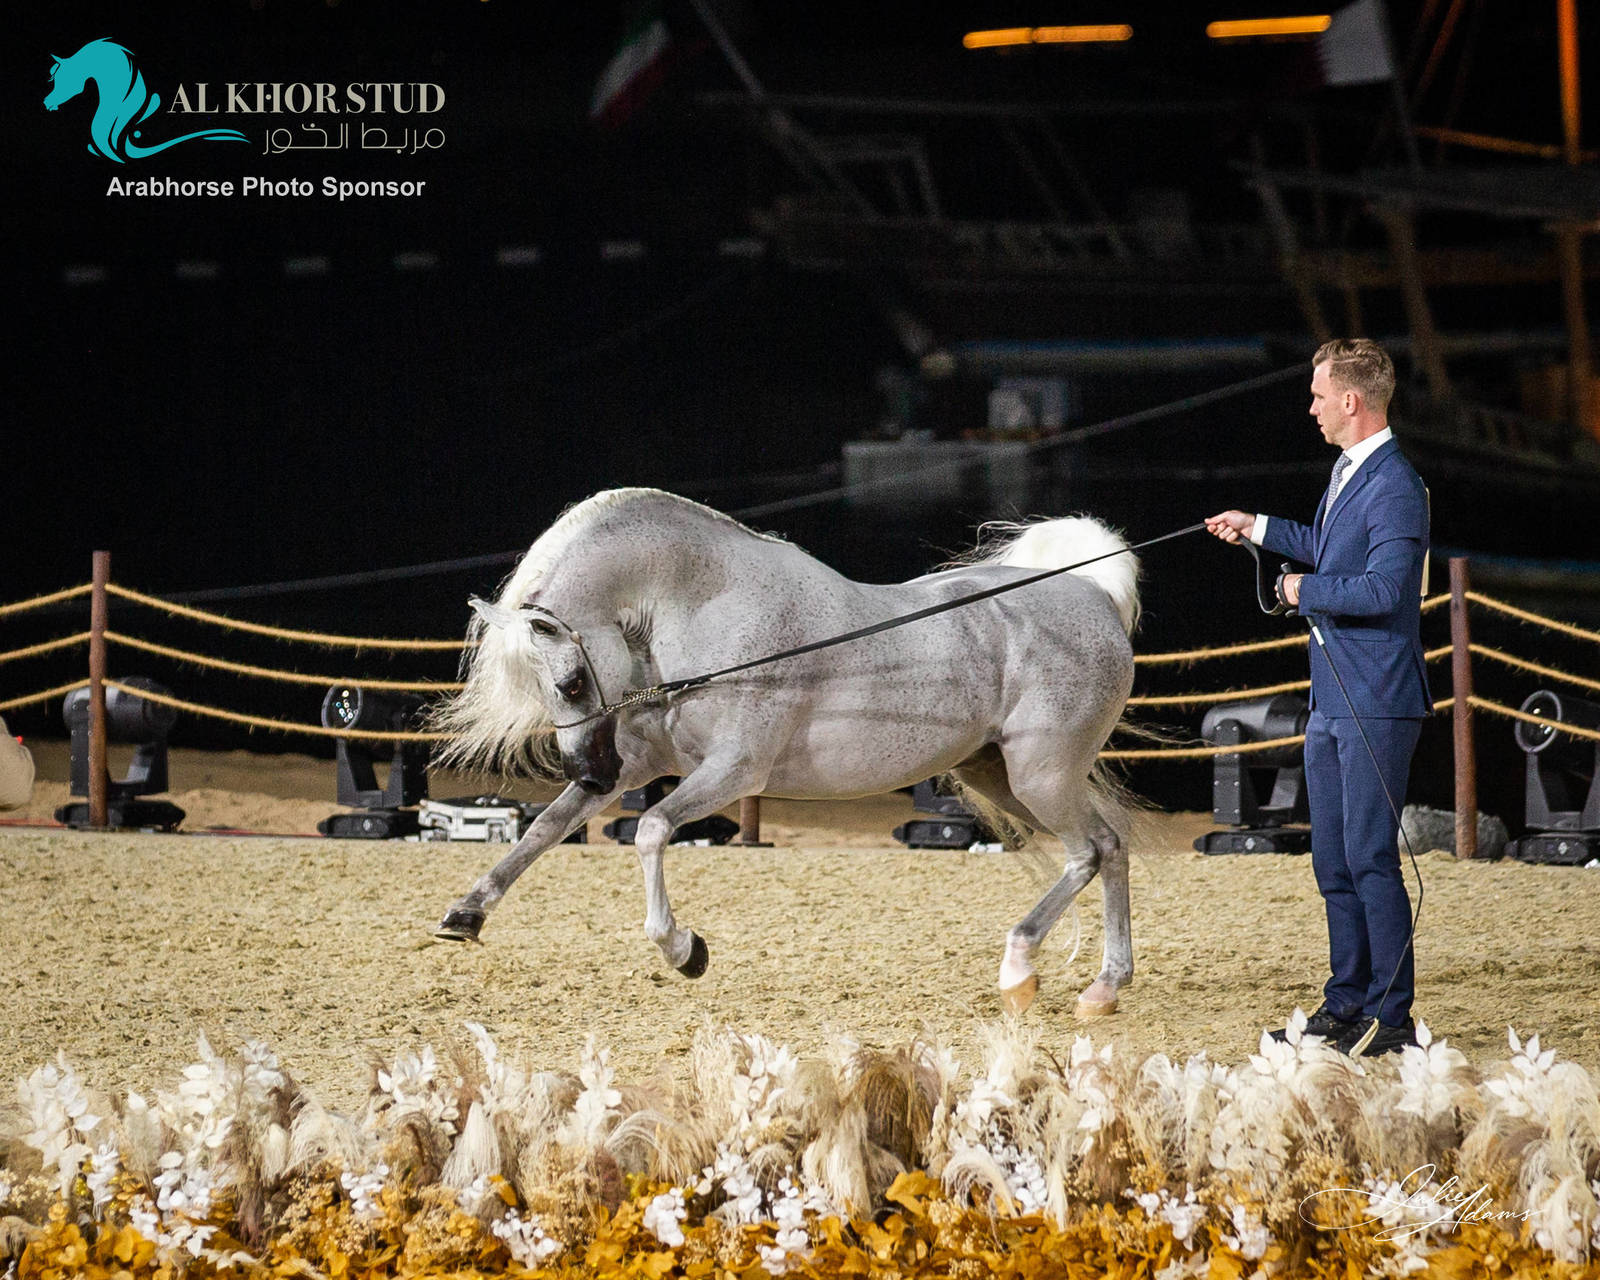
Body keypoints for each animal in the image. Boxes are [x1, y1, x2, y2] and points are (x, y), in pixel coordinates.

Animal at [433, 488, 1141, 1018]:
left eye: (572, 682)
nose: (590, 772)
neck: (707, 605)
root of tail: (1093, 598)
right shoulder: (643, 764)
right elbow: (547, 827)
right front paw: (465, 915)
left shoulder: (733, 771)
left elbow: (652, 830)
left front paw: (684, 950)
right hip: (1000, 777)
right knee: (1107, 847)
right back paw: (1100, 986)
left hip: (1041, 775)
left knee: (1092, 850)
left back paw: (1029, 971)